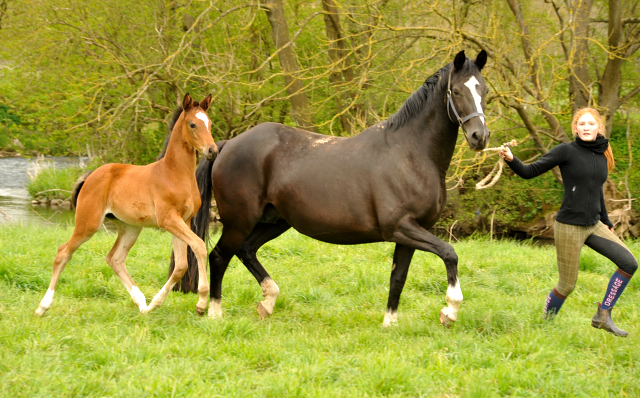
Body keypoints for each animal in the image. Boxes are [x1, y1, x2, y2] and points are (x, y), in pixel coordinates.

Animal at [35, 93, 218, 318]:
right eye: (192, 124)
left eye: (210, 123)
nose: (212, 150)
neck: (174, 173)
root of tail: (90, 176)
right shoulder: (168, 219)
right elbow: (199, 246)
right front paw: (201, 303)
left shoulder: (184, 220)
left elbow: (181, 265)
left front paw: (155, 304)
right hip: (88, 223)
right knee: (63, 253)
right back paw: (43, 306)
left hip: (130, 228)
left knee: (115, 258)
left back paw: (142, 303)